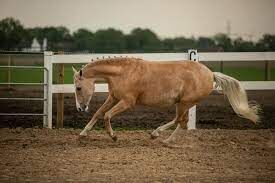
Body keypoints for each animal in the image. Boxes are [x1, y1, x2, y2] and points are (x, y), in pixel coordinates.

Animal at [72, 56, 262, 143]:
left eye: (78, 88)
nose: (80, 108)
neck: (124, 72)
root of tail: (211, 74)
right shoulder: (113, 97)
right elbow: (98, 113)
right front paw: (83, 133)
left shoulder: (127, 102)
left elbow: (106, 116)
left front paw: (113, 136)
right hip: (185, 104)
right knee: (183, 122)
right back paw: (168, 140)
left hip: (184, 103)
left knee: (179, 120)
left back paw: (156, 134)